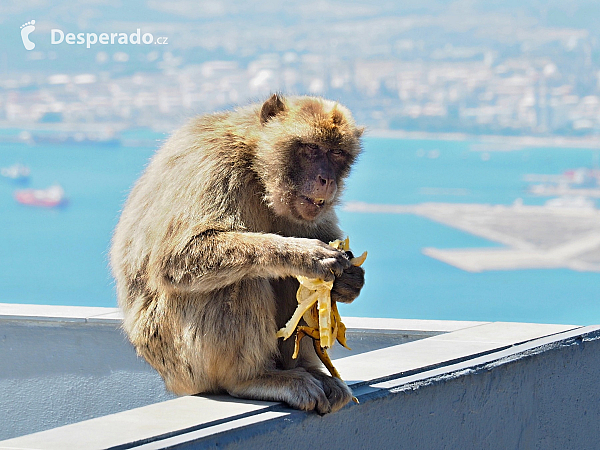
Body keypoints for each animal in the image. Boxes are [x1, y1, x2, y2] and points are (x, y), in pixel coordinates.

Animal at [111, 95, 366, 414]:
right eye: (310, 148)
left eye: (336, 153)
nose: (326, 179)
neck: (255, 166)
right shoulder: (215, 165)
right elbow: (178, 255)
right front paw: (306, 255)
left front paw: (349, 281)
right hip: (180, 358)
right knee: (239, 280)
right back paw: (252, 378)